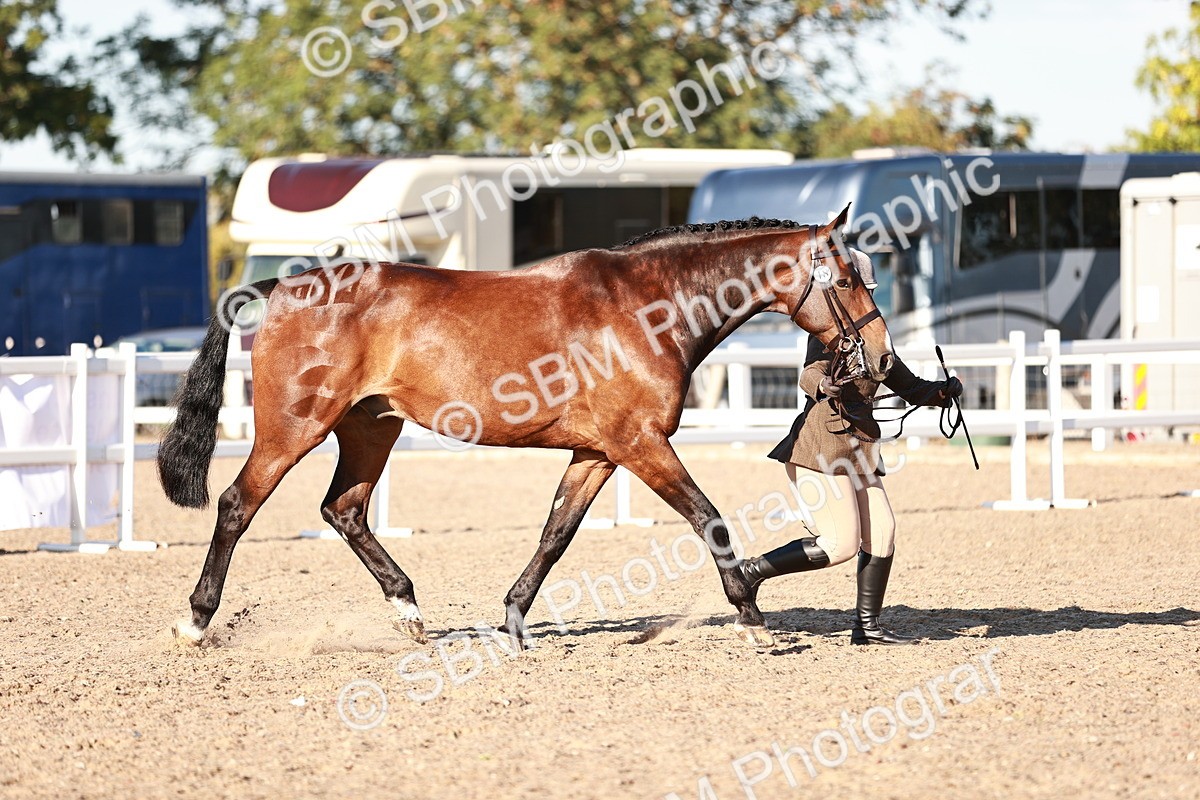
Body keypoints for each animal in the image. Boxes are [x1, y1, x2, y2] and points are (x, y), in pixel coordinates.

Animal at [158, 205, 895, 650]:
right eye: (849, 281)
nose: (883, 359)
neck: (645, 308)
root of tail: (284, 286)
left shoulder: (598, 453)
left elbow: (555, 534)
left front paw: (514, 620)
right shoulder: (641, 445)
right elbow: (707, 518)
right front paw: (751, 616)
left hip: (370, 429)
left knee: (344, 510)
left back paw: (411, 613)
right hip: (294, 428)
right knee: (238, 504)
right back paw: (195, 622)